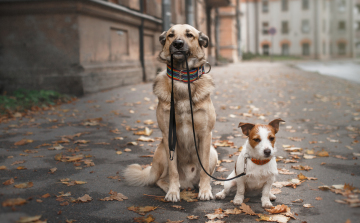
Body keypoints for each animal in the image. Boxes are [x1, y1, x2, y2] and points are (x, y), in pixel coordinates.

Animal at [124, 24, 218, 202]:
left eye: (189, 35)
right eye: (170, 35)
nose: (178, 44)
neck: (183, 78)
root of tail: (188, 182)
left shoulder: (205, 134)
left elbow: (204, 171)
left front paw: (205, 190)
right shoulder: (169, 135)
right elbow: (173, 171)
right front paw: (174, 192)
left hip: (212, 152)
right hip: (161, 151)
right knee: (160, 179)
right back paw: (171, 187)